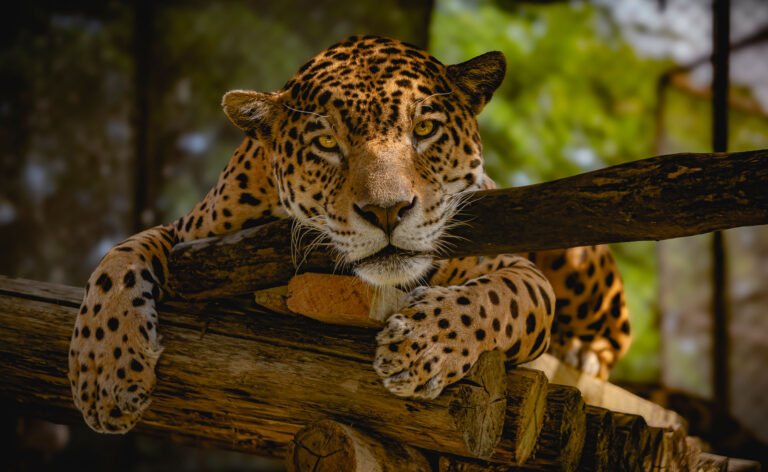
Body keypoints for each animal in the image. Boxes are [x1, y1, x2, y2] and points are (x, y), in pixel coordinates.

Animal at [68, 35, 631, 433]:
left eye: (424, 131)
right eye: (325, 144)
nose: (387, 211)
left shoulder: (516, 268)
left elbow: (495, 299)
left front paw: (419, 348)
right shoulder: (190, 234)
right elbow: (119, 259)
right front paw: (105, 376)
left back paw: (581, 353)